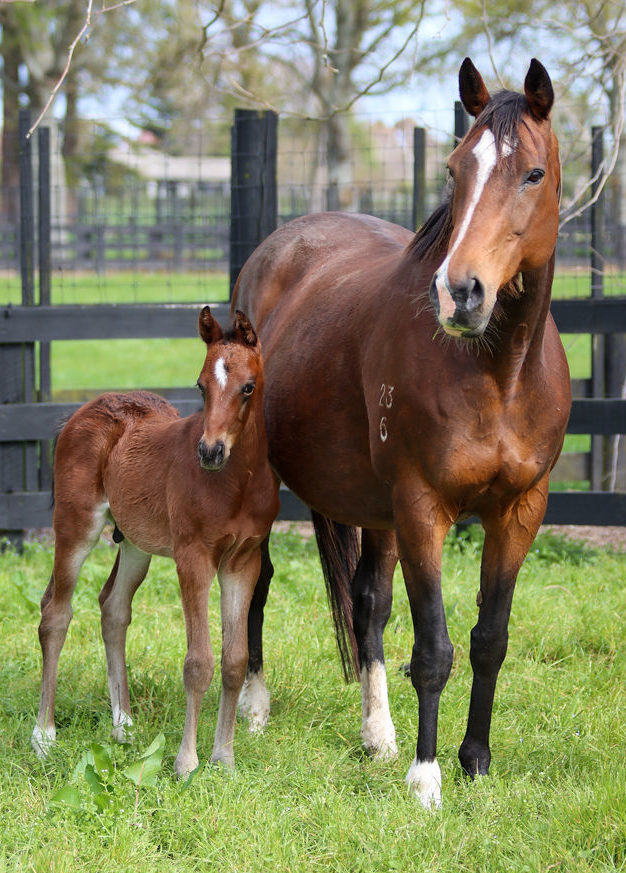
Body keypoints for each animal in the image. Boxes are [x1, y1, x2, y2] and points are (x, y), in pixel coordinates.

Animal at [32, 308, 278, 776]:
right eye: (200, 385)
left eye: (248, 387)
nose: (210, 452)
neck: (236, 484)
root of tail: (82, 410)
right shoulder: (193, 557)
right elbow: (198, 662)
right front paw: (186, 763)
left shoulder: (243, 561)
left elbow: (234, 660)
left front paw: (224, 759)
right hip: (76, 526)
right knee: (55, 613)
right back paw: (44, 735)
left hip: (134, 543)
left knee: (113, 609)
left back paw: (123, 726)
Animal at [233, 59, 564, 812]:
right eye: (455, 169)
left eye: (532, 173)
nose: (460, 292)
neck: (498, 374)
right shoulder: (422, 508)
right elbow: (434, 648)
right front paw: (426, 777)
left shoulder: (519, 511)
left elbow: (489, 638)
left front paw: (474, 761)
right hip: (266, 479)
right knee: (257, 579)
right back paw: (254, 706)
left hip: (374, 509)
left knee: (367, 606)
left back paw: (377, 732)